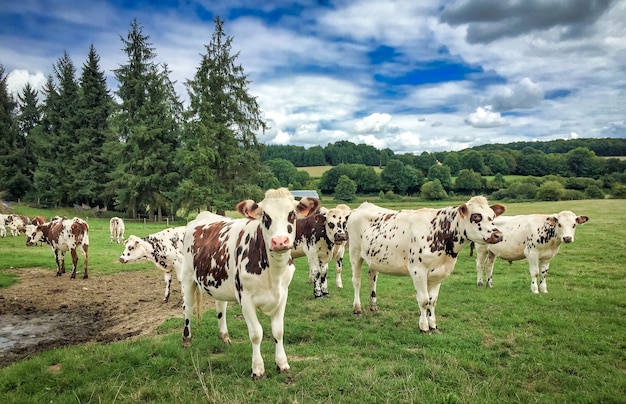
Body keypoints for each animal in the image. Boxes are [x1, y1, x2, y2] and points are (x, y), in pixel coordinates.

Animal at [179, 188, 316, 380]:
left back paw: (224, 337)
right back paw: (187, 339)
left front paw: (282, 364)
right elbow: (256, 333)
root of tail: (203, 215)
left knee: (220, 307)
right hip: (187, 276)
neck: (273, 274)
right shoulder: (246, 299)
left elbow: (278, 331)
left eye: (292, 214)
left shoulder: (283, 295)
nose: (280, 241)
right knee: (188, 307)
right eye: (265, 216)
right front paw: (258, 369)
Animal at [344, 197, 504, 332]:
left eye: (493, 216)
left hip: (374, 259)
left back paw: (373, 306)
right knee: (356, 281)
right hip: (354, 252)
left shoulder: (439, 273)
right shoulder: (418, 271)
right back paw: (357, 308)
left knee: (372, 278)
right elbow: (424, 300)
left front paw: (433, 325)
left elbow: (432, 301)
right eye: (476, 216)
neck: (440, 233)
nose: (498, 235)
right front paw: (423, 326)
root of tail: (364, 205)